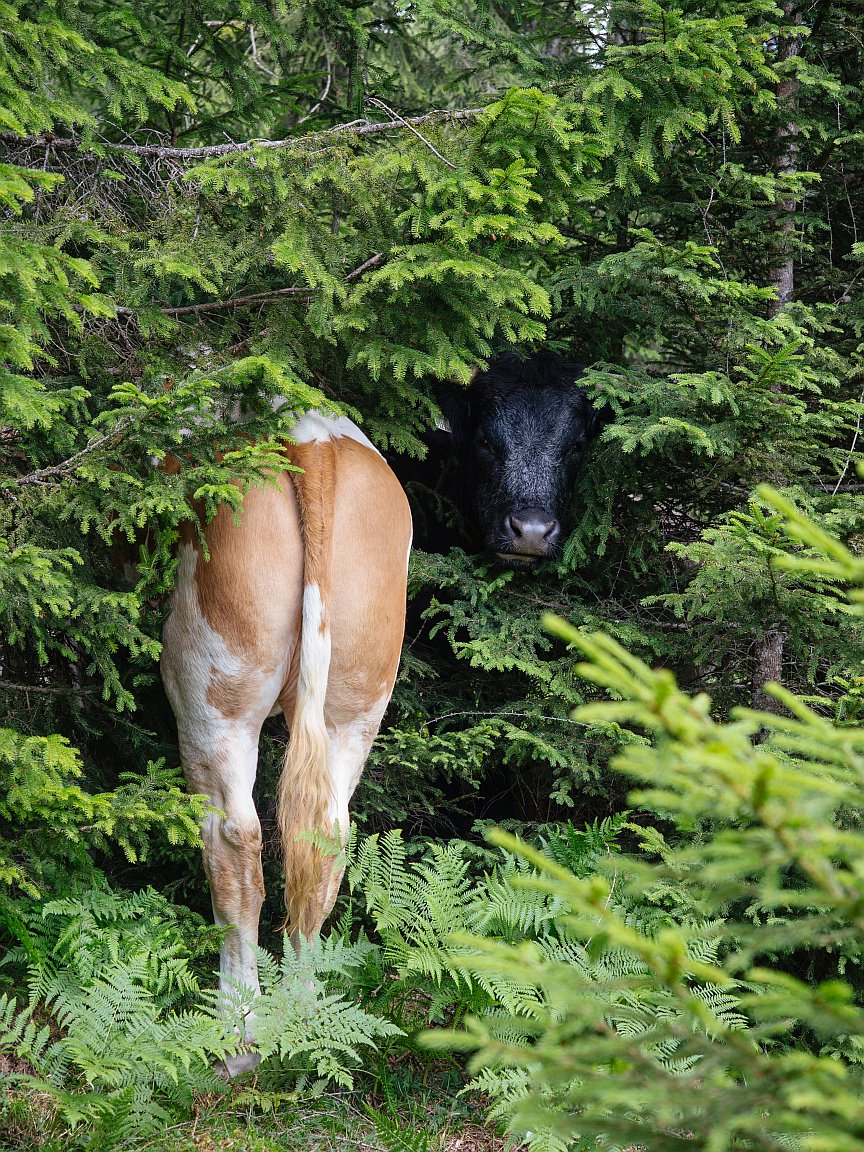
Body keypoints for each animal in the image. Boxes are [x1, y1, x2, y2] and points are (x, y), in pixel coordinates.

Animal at [161, 410, 412, 1064]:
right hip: (357, 702)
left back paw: (239, 1030)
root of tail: (311, 443)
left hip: (211, 691)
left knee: (236, 839)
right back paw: (302, 1016)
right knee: (326, 841)